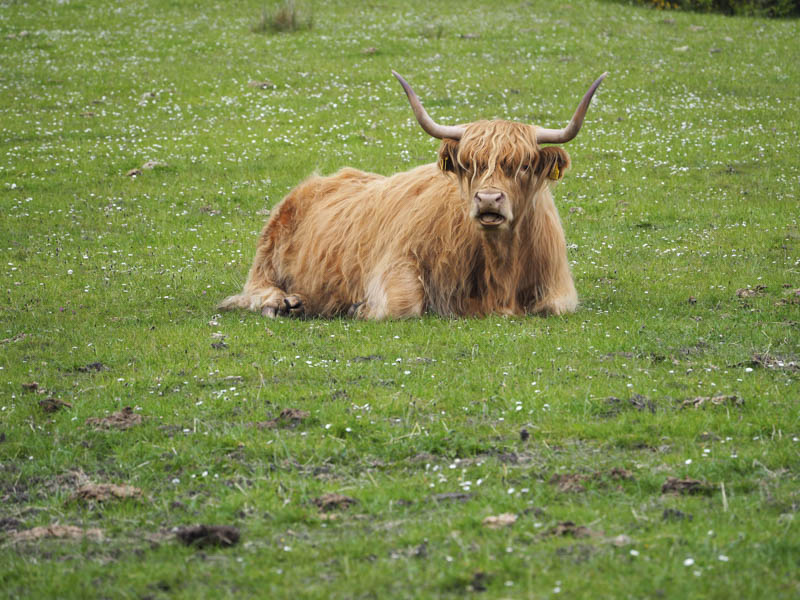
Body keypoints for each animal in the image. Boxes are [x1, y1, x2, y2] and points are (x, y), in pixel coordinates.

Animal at [219, 70, 608, 318]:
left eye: (523, 164)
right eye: (468, 164)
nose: (488, 200)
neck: (501, 272)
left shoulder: (558, 288)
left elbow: (554, 306)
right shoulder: (397, 260)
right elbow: (404, 304)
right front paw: (359, 307)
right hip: (265, 262)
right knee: (250, 293)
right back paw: (285, 303)